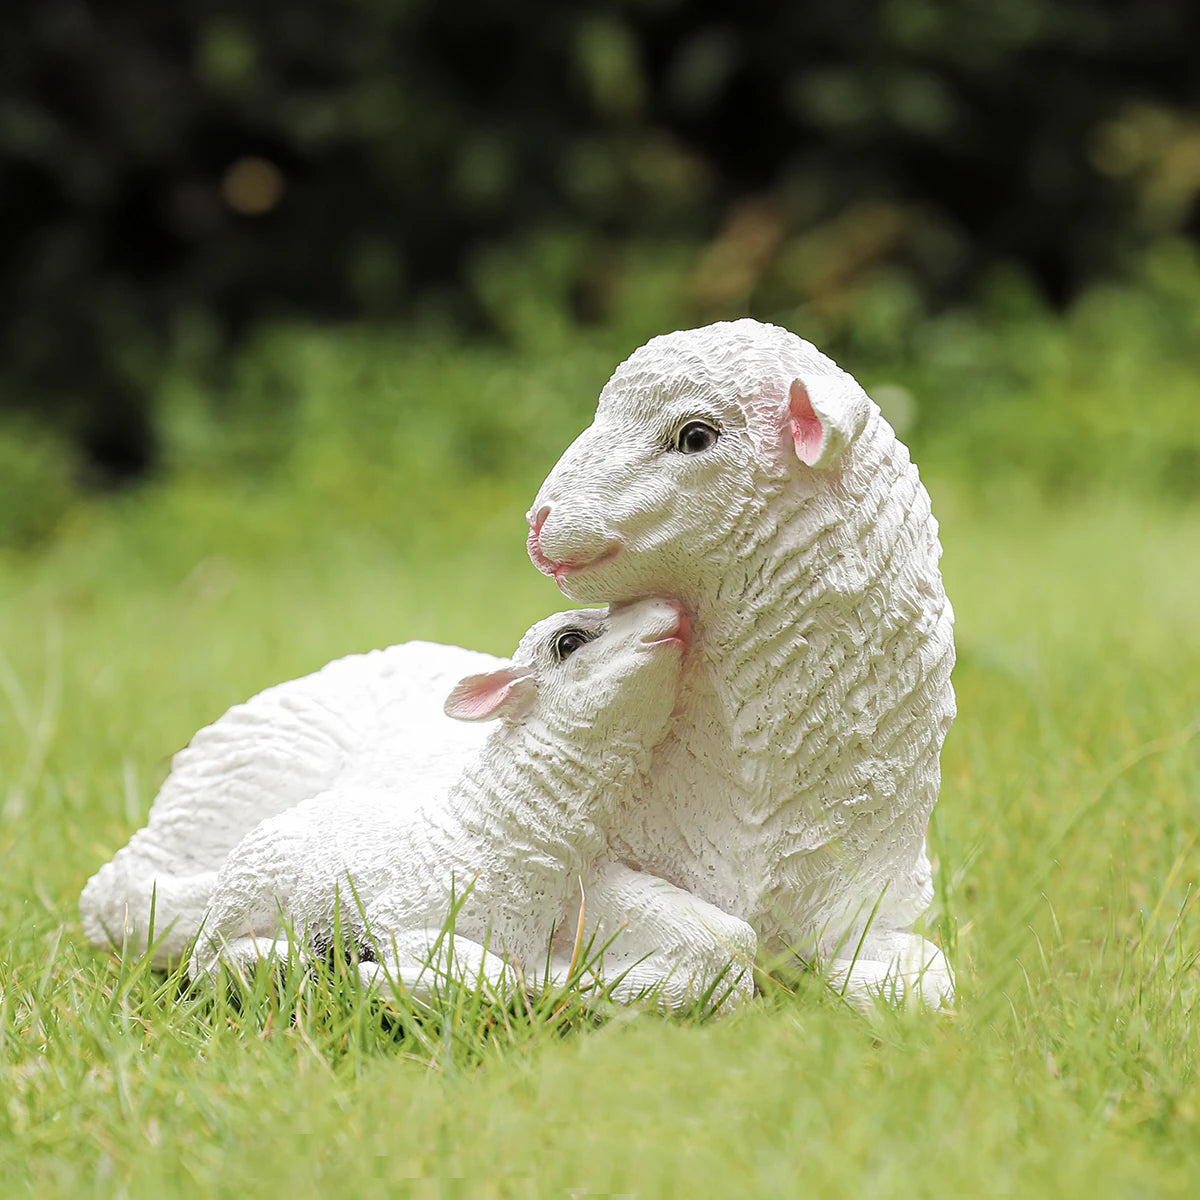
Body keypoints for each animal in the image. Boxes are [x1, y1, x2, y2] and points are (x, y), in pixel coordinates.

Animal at [190, 599, 757, 1010]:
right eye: (569, 642)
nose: (674, 609)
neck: (499, 830)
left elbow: (729, 950)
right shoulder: (401, 918)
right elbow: (496, 978)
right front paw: (365, 975)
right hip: (247, 888)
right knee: (208, 960)